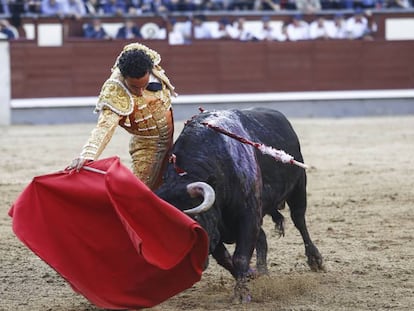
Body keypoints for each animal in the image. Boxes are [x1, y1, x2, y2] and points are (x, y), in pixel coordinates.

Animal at [155, 108, 324, 304]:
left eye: (195, 219)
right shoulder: (218, 228)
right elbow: (225, 258)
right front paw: (250, 278)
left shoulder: (247, 215)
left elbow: (240, 257)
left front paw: (242, 294)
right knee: (263, 238)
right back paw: (263, 274)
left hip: (298, 187)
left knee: (299, 221)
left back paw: (315, 260)